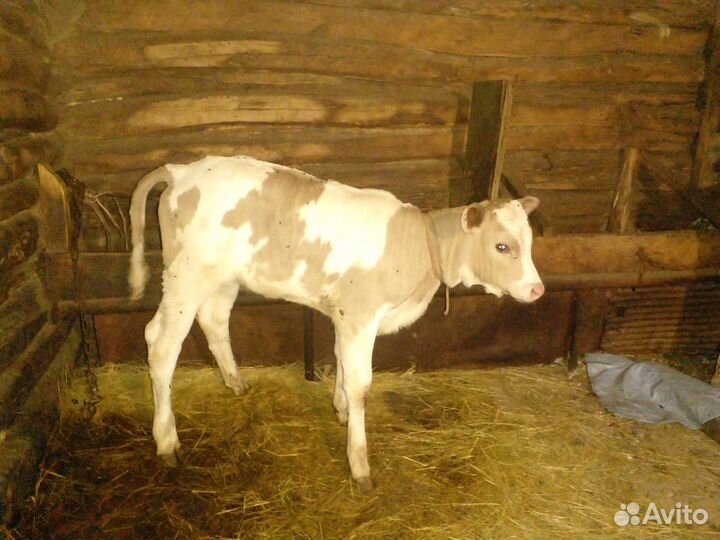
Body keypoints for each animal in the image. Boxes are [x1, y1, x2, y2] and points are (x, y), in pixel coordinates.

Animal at [128, 155, 544, 492]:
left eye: (529, 241)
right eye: (502, 246)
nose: (537, 289)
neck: (417, 249)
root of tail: (181, 170)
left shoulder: (345, 314)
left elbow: (342, 360)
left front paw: (340, 407)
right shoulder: (360, 313)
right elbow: (361, 385)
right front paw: (359, 463)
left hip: (222, 276)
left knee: (214, 319)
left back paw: (236, 382)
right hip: (186, 274)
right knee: (161, 344)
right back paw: (166, 441)